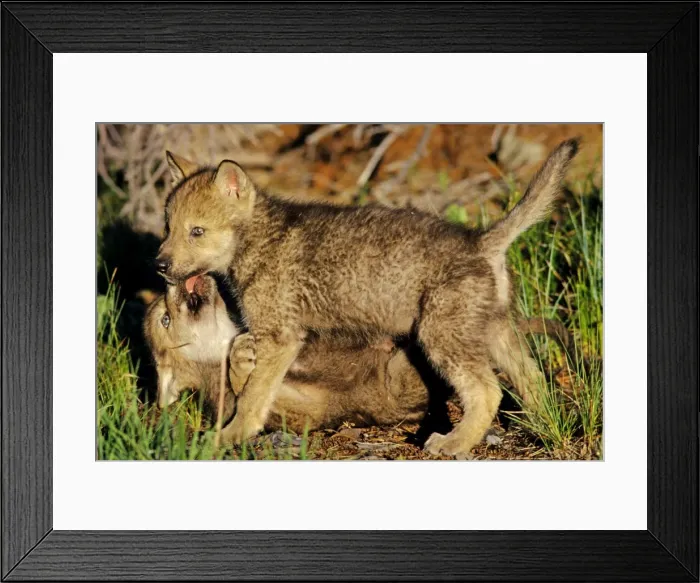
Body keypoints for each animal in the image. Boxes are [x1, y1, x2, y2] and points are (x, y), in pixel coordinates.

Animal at [156, 139, 579, 455]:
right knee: (532, 377)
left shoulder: (281, 337)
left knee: (488, 391)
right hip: (492, 331)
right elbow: (243, 362)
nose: (159, 265)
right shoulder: (276, 335)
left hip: (441, 336)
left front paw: (229, 435)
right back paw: (543, 425)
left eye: (197, 231)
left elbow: (252, 395)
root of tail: (480, 241)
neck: (257, 239)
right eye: (168, 227)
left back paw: (453, 442)